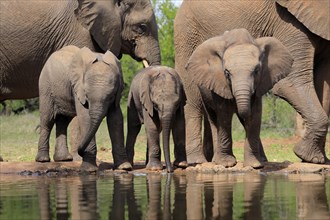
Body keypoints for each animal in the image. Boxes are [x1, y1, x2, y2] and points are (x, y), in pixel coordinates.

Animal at [36, 44, 132, 172]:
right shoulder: (78, 88)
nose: (80, 152)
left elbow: (116, 119)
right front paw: (89, 169)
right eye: (87, 94)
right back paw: (42, 160)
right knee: (48, 120)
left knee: (63, 121)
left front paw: (124, 167)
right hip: (45, 86)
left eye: (111, 96)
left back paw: (64, 159)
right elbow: (85, 117)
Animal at [186, 28, 294, 168]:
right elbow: (225, 115)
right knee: (213, 118)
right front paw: (227, 164)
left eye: (256, 70)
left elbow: (255, 116)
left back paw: (262, 160)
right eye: (226, 73)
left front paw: (254, 165)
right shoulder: (220, 83)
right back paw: (216, 160)